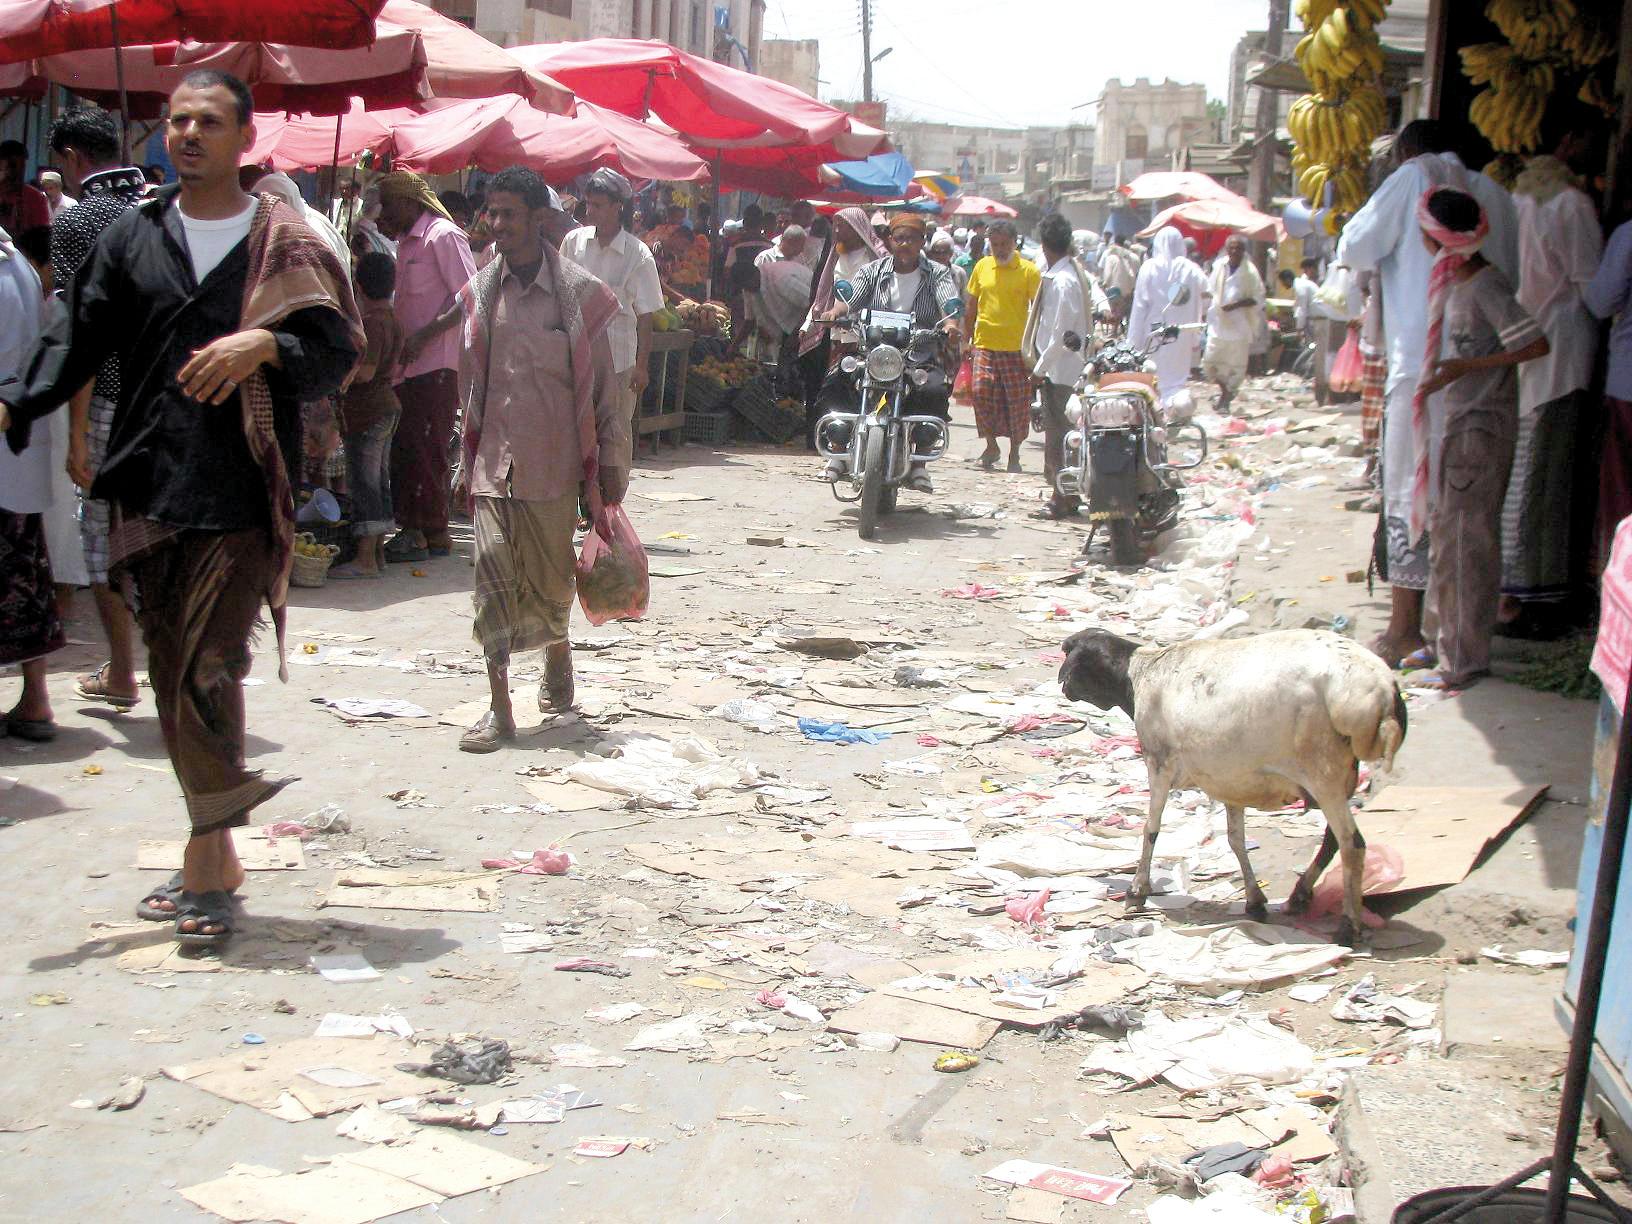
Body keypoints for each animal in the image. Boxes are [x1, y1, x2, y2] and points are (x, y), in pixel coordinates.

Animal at [1057, 626, 1403, 946]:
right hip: (1341, 774)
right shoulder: (1231, 779)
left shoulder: (1159, 762)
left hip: (1322, 769)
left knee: (1352, 843)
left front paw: (1136, 892)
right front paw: (1254, 901)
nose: (1064, 687)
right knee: (1334, 839)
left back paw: (1348, 926)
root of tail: (1379, 687)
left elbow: (1151, 829)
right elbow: (1236, 840)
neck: (1140, 674)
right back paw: (1300, 896)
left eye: (1072, 655)